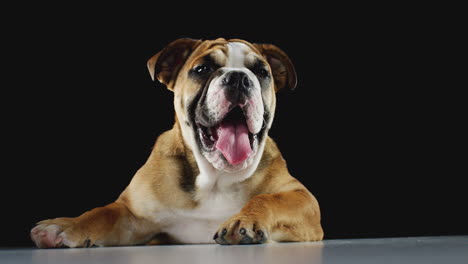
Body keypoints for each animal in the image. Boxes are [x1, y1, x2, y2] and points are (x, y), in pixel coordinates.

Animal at [31, 37, 324, 248]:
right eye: (202, 69)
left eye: (261, 72)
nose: (239, 77)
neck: (216, 179)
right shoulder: (133, 215)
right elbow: (103, 212)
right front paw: (69, 226)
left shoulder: (302, 198)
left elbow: (268, 199)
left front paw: (245, 220)